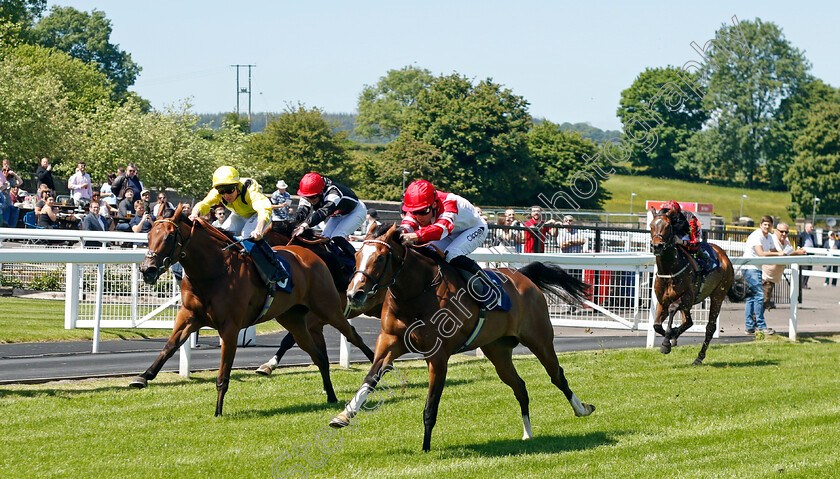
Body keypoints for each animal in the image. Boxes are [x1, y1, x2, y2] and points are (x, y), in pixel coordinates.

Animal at [132, 206, 374, 416]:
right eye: (149, 235)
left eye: (170, 237)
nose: (147, 269)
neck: (213, 272)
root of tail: (312, 256)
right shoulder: (189, 316)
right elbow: (169, 346)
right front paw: (143, 377)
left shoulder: (230, 327)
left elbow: (223, 374)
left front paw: (218, 411)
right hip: (293, 320)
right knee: (319, 356)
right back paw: (331, 396)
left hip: (328, 309)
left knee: (353, 335)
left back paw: (374, 365)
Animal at [324, 224, 592, 450]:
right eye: (357, 256)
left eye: (380, 258)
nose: (354, 294)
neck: (417, 292)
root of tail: (523, 277)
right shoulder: (389, 342)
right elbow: (370, 379)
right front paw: (343, 415)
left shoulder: (438, 355)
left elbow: (431, 406)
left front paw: (426, 448)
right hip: (498, 350)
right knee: (520, 386)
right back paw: (527, 433)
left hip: (539, 339)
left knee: (557, 375)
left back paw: (582, 409)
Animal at [648, 208, 736, 366]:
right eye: (651, 226)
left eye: (668, 226)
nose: (656, 245)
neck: (669, 270)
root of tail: (724, 255)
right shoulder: (662, 301)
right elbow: (657, 325)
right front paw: (672, 337)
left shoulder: (687, 297)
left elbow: (672, 310)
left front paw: (666, 343)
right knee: (688, 321)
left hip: (718, 295)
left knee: (710, 327)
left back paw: (699, 357)